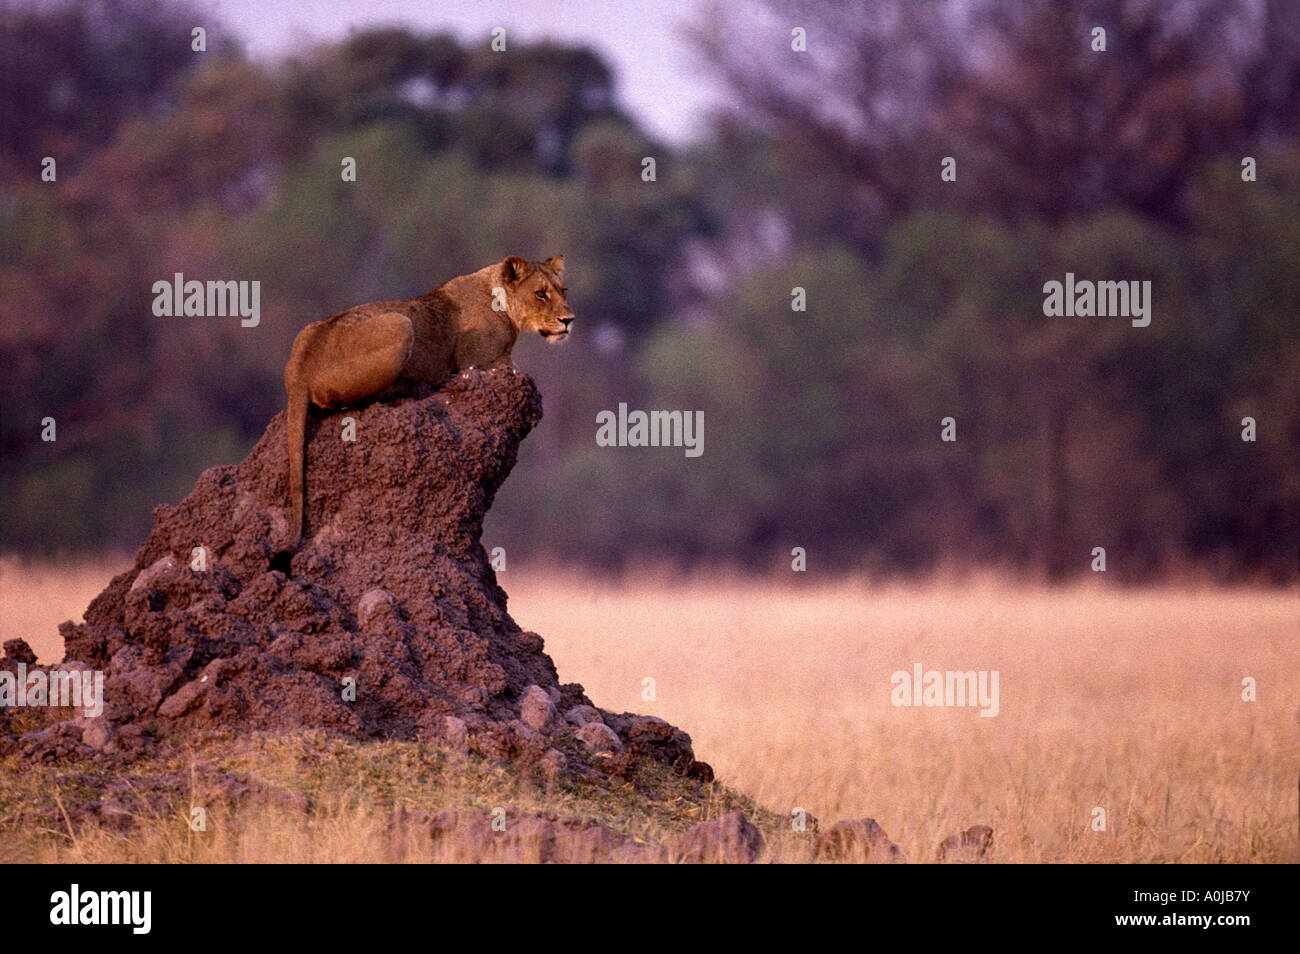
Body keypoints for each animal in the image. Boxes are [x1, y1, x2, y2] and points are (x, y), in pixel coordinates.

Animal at [281, 254, 572, 550]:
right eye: (540, 294)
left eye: (563, 291)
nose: (569, 320)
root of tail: (302, 370)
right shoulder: (479, 362)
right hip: (400, 323)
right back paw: (410, 386)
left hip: (310, 332)